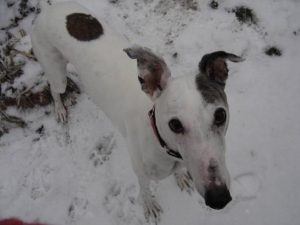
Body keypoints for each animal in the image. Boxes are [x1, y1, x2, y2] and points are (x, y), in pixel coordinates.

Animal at [31, 1, 244, 223]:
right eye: (174, 124)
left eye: (220, 115)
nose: (219, 198)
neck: (159, 141)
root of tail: (48, 8)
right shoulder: (141, 172)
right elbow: (144, 189)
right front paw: (149, 206)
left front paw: (181, 178)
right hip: (56, 73)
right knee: (54, 88)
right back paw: (59, 109)